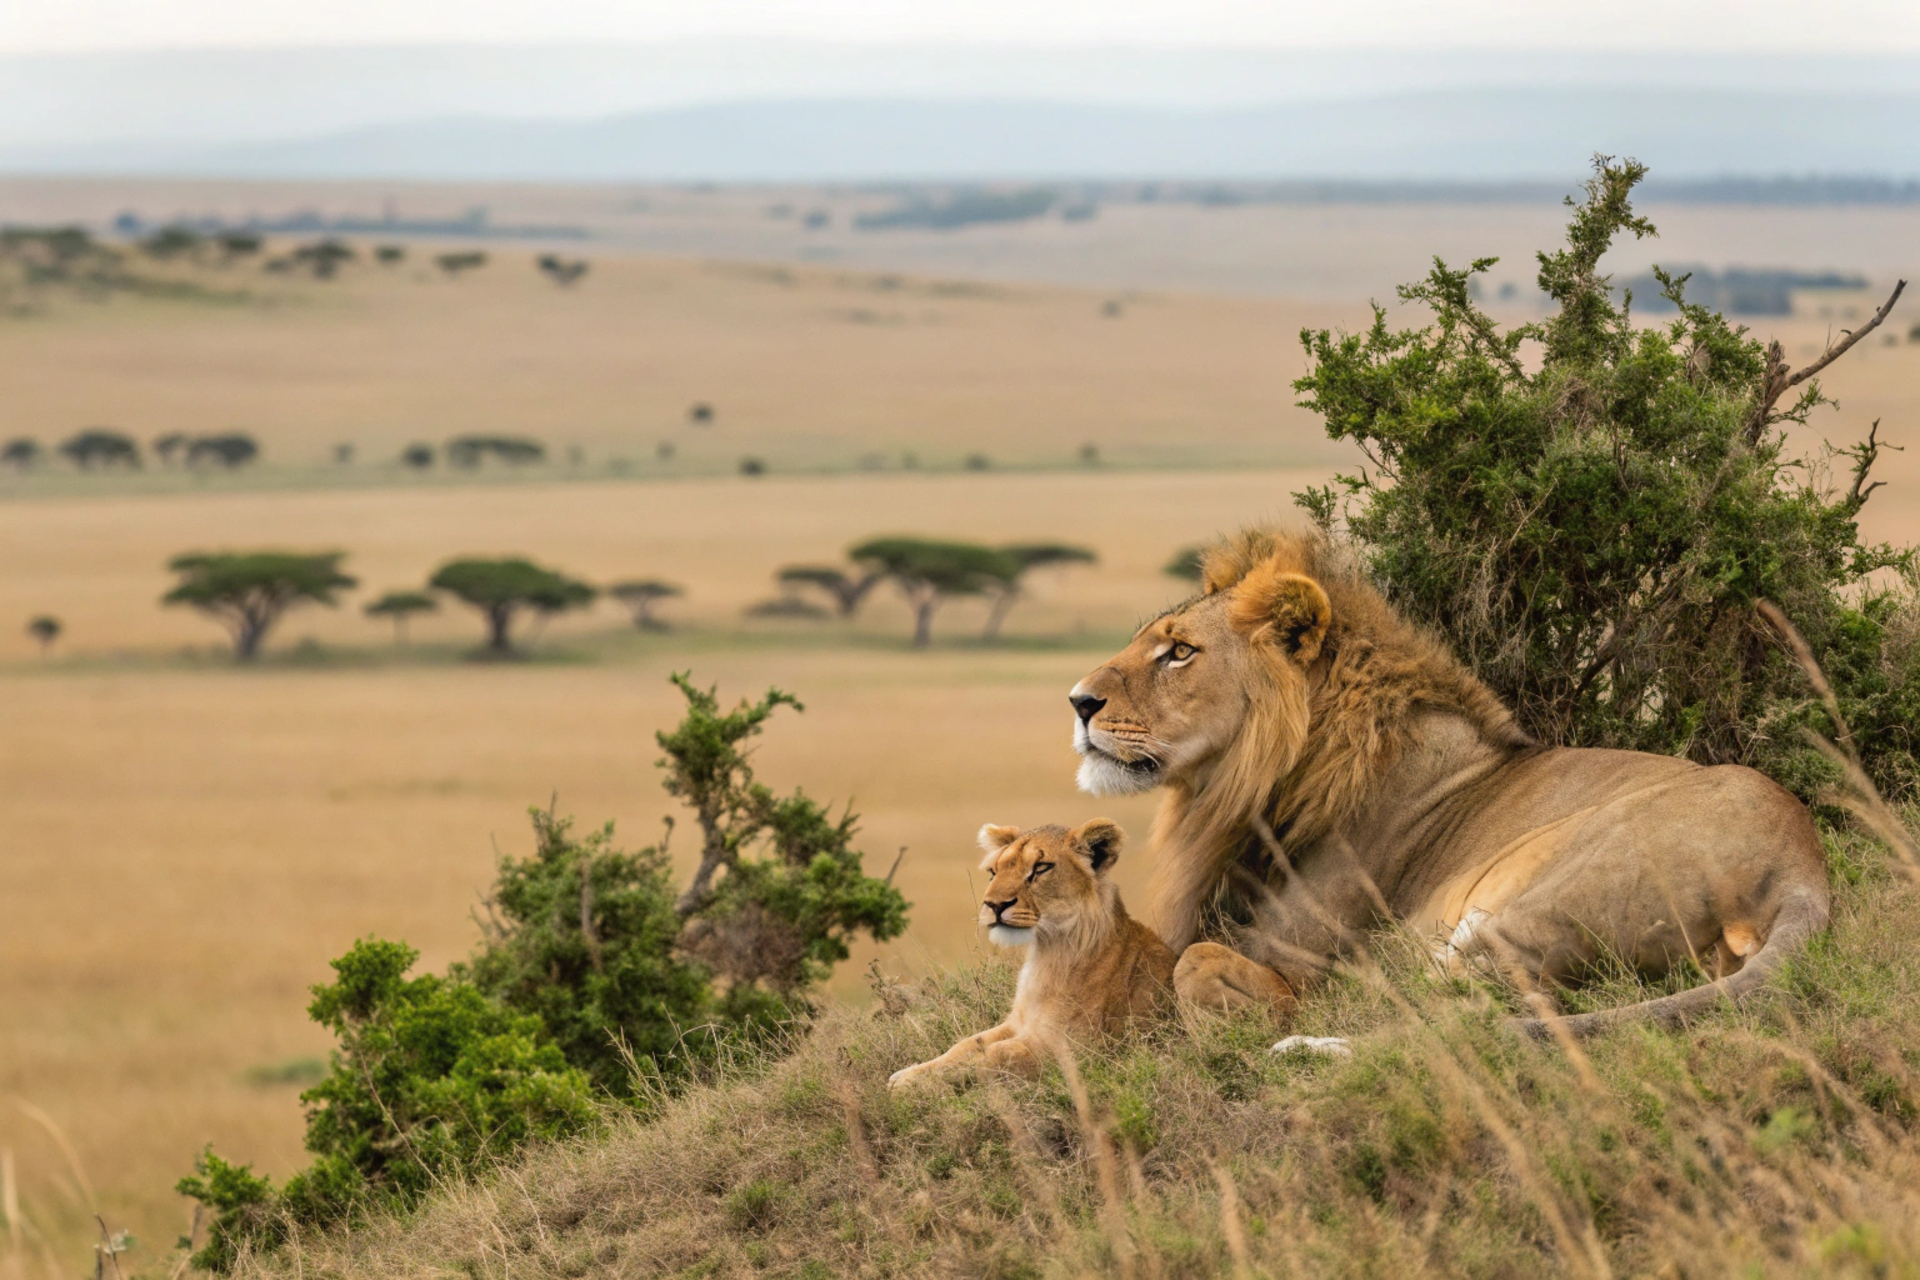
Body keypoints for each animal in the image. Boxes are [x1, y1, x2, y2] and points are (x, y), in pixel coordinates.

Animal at [887, 819, 1179, 1087]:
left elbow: (994, 1056)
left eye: (1040, 868)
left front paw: (914, 1086)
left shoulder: (1077, 1049)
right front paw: (909, 1073)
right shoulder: (1017, 1023)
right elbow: (966, 1044)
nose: (994, 905)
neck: (1045, 950)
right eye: (994, 871)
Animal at [1069, 528, 1830, 1038]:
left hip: (1527, 907)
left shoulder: (1312, 955)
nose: (1078, 702)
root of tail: (1801, 869)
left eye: (1180, 652)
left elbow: (1194, 965)